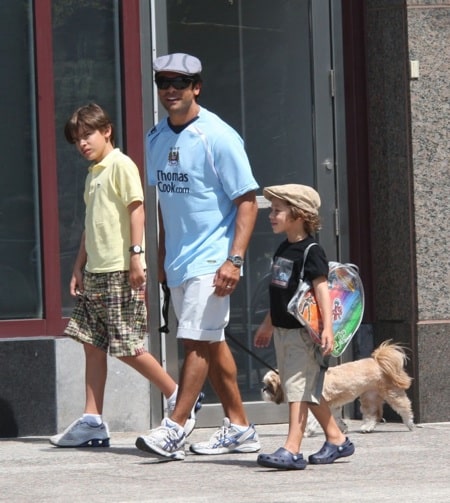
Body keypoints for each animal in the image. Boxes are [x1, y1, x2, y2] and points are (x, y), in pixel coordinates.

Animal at [264, 340, 414, 436]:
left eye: (270, 386)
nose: (263, 390)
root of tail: (378, 363)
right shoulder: (333, 406)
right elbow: (336, 419)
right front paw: (343, 427)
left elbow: (312, 419)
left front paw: (307, 432)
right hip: (369, 395)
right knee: (372, 413)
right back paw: (367, 427)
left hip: (392, 393)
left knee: (404, 407)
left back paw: (410, 423)